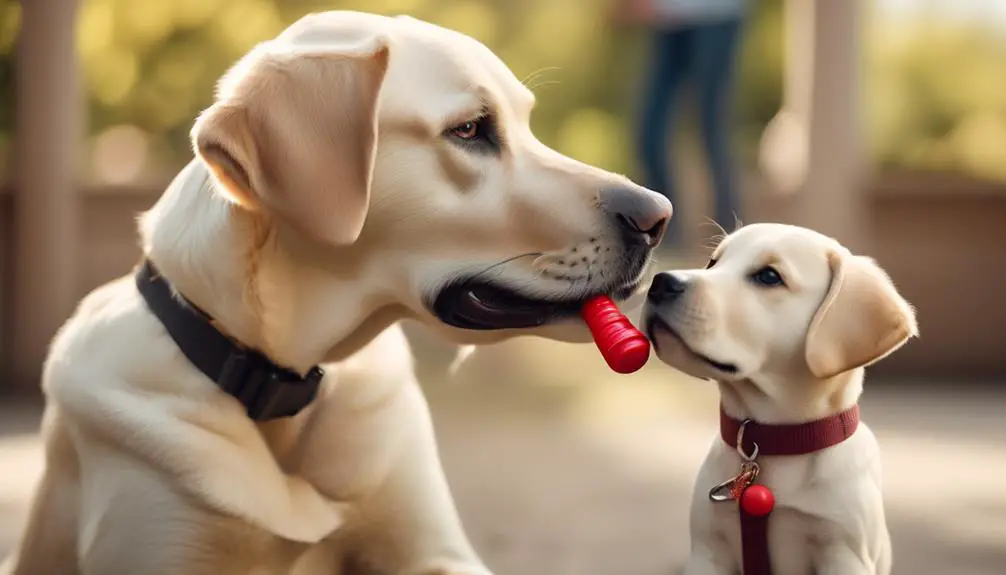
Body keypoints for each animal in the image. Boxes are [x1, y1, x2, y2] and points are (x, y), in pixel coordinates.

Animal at [643, 223, 921, 575]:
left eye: (769, 277)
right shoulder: (708, 550)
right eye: (712, 263)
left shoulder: (844, 555)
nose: (661, 282)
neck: (779, 441)